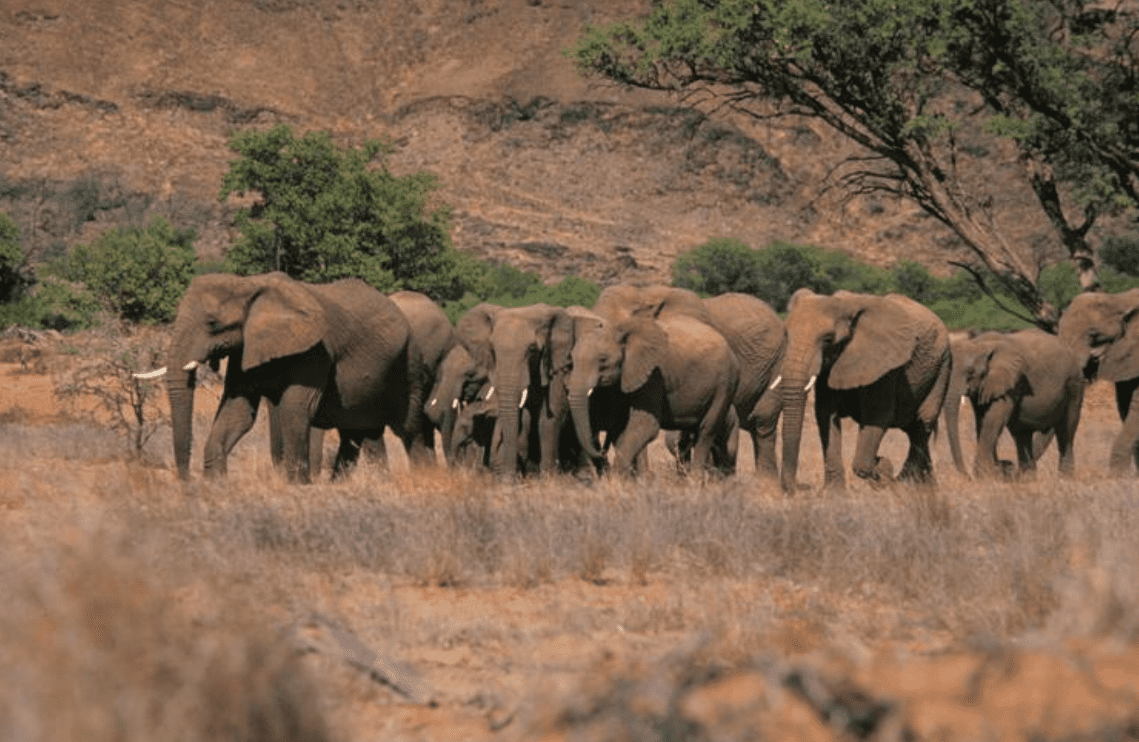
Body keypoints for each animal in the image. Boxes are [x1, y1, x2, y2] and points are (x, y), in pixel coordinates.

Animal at [159, 272, 415, 483]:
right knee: (356, 432)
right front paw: (216, 485)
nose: (187, 481)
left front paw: (298, 486)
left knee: (370, 428)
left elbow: (294, 408)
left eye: (212, 323)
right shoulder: (245, 348)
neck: (249, 284)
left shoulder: (315, 351)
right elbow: (237, 411)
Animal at [564, 307, 740, 476]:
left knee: (705, 431)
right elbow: (621, 426)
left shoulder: (654, 374)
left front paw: (614, 481)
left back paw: (696, 480)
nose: (601, 451)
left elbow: (646, 425)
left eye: (602, 360)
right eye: (571, 360)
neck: (618, 329)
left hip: (726, 383)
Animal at [779, 288, 952, 493]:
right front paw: (834, 494)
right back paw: (925, 489)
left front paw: (883, 466)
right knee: (915, 430)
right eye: (786, 335)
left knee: (923, 422)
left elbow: (878, 416)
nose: (799, 488)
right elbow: (825, 414)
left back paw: (906, 483)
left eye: (828, 339)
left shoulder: (884, 366)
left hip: (943, 365)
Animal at [943, 329, 1083, 479]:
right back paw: (1026, 479)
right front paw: (990, 473)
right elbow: (981, 421)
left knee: (1066, 432)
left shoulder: (1012, 383)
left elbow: (993, 419)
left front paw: (985, 475)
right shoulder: (985, 386)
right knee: (1022, 435)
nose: (967, 476)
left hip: (1074, 386)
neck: (980, 344)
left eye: (970, 373)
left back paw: (1064, 478)